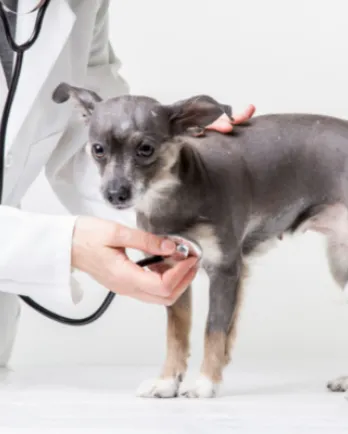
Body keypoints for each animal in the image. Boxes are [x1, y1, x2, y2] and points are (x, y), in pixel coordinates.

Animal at [52, 83, 348, 398]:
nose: (115, 193)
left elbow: (214, 330)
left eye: (146, 149)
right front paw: (167, 381)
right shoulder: (173, 272)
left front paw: (206, 383)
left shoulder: (225, 270)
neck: (171, 199)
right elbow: (177, 333)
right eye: (98, 149)